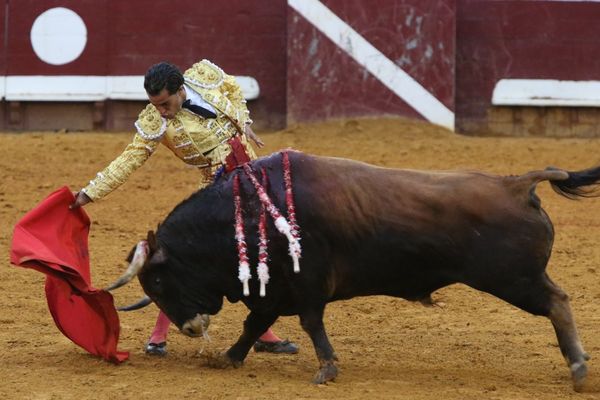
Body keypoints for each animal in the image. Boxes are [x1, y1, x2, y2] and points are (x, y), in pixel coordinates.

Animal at [109, 152, 600, 390]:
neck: (247, 210)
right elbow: (254, 324)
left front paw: (326, 368)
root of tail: (516, 185)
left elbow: (310, 323)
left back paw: (578, 368)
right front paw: (230, 357)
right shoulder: (276, 292)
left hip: (514, 279)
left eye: (157, 280)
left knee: (558, 303)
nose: (191, 328)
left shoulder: (305, 284)